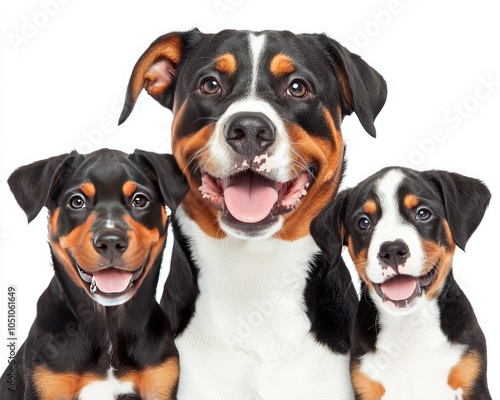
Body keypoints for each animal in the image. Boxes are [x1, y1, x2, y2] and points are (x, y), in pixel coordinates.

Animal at [0, 148, 188, 398]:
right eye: (76, 202)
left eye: (139, 200)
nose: (111, 242)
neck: (108, 327)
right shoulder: (48, 382)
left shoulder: (160, 380)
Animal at [312, 166, 492, 400]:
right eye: (364, 222)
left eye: (423, 213)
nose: (392, 250)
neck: (409, 326)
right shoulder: (366, 384)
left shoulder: (471, 380)